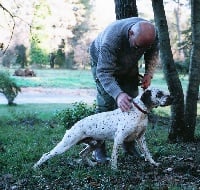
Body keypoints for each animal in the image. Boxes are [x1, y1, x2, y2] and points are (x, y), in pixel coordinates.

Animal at [34, 88, 172, 170]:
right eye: (159, 94)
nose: (171, 97)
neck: (138, 112)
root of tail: (73, 126)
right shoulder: (119, 139)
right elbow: (114, 157)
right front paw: (114, 170)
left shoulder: (141, 138)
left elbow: (148, 154)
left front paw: (154, 163)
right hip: (65, 145)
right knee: (46, 154)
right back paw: (36, 167)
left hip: (96, 143)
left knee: (82, 154)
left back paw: (92, 164)